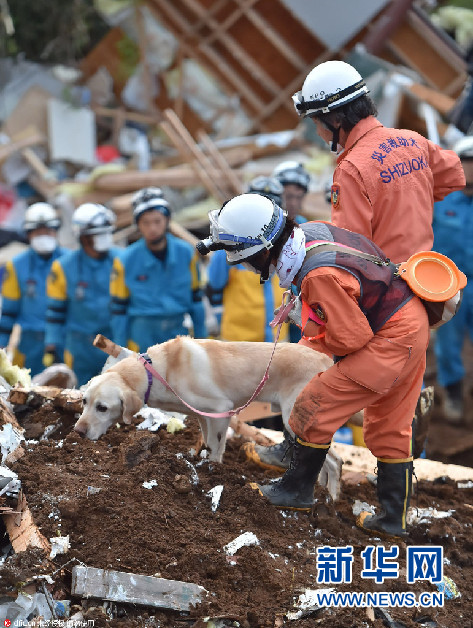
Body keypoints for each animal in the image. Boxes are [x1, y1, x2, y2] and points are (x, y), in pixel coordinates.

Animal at [74, 336, 332, 464]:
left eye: (103, 408)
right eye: (84, 402)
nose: (77, 431)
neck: (157, 371)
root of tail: (326, 360)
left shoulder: (221, 410)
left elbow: (217, 448)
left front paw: (212, 468)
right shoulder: (203, 416)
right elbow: (207, 442)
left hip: (294, 418)